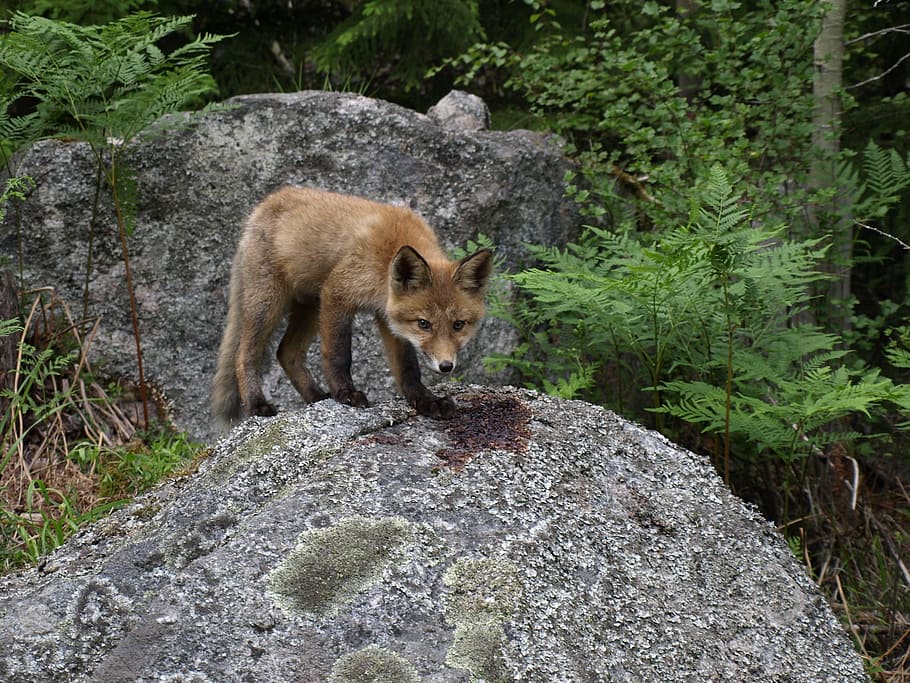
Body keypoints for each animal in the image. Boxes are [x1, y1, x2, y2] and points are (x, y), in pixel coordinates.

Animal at [211, 186, 493, 424]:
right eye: (424, 324)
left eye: (458, 325)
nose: (446, 366)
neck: (385, 259)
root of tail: (264, 204)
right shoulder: (337, 293)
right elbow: (338, 354)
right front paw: (345, 393)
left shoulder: (388, 317)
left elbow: (408, 367)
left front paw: (426, 401)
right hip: (269, 304)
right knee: (244, 355)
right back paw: (257, 404)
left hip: (311, 308)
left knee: (286, 352)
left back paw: (316, 396)